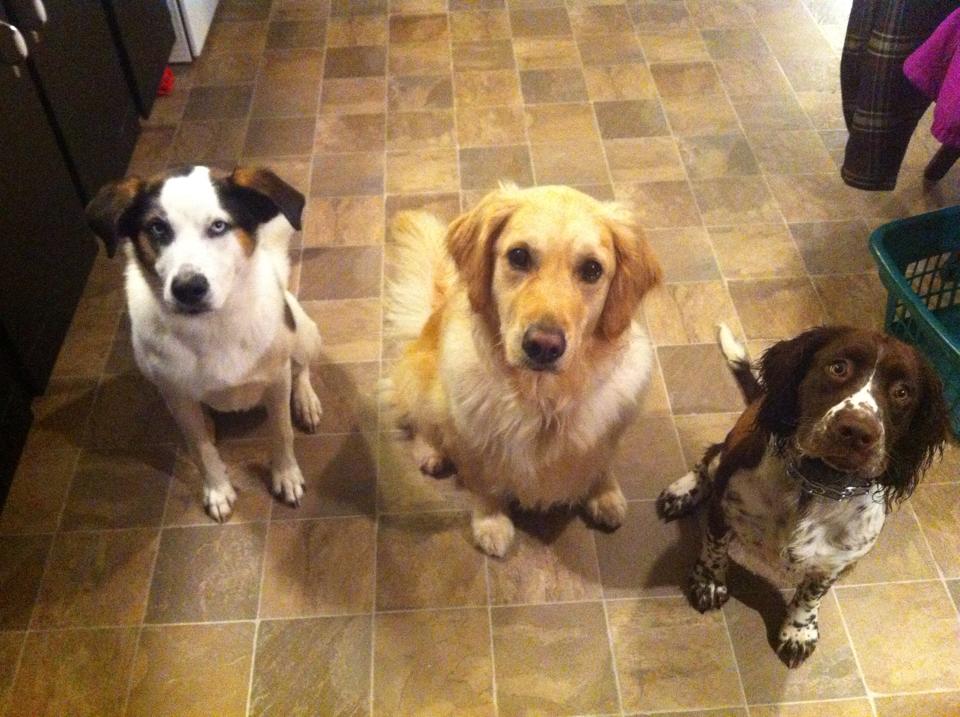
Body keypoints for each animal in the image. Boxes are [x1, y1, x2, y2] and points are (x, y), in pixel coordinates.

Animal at [86, 165, 322, 522]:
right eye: (157, 228)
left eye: (219, 226)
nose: (188, 288)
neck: (212, 325)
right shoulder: (176, 396)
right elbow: (199, 447)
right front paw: (218, 489)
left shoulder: (276, 379)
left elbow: (281, 431)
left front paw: (286, 476)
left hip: (303, 332)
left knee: (302, 369)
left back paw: (306, 401)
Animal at [385, 184, 662, 557]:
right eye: (519, 256)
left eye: (592, 269)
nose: (543, 345)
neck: (543, 399)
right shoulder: (472, 436)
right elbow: (484, 483)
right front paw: (491, 523)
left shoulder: (611, 426)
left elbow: (601, 460)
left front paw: (604, 495)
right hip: (424, 379)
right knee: (420, 418)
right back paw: (431, 451)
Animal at [658, 324, 948, 667]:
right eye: (838, 367)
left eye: (902, 392)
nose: (857, 431)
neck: (816, 484)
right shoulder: (724, 506)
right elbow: (714, 549)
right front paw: (709, 583)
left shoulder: (835, 561)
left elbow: (811, 595)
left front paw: (798, 631)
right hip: (725, 454)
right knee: (710, 457)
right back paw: (683, 491)